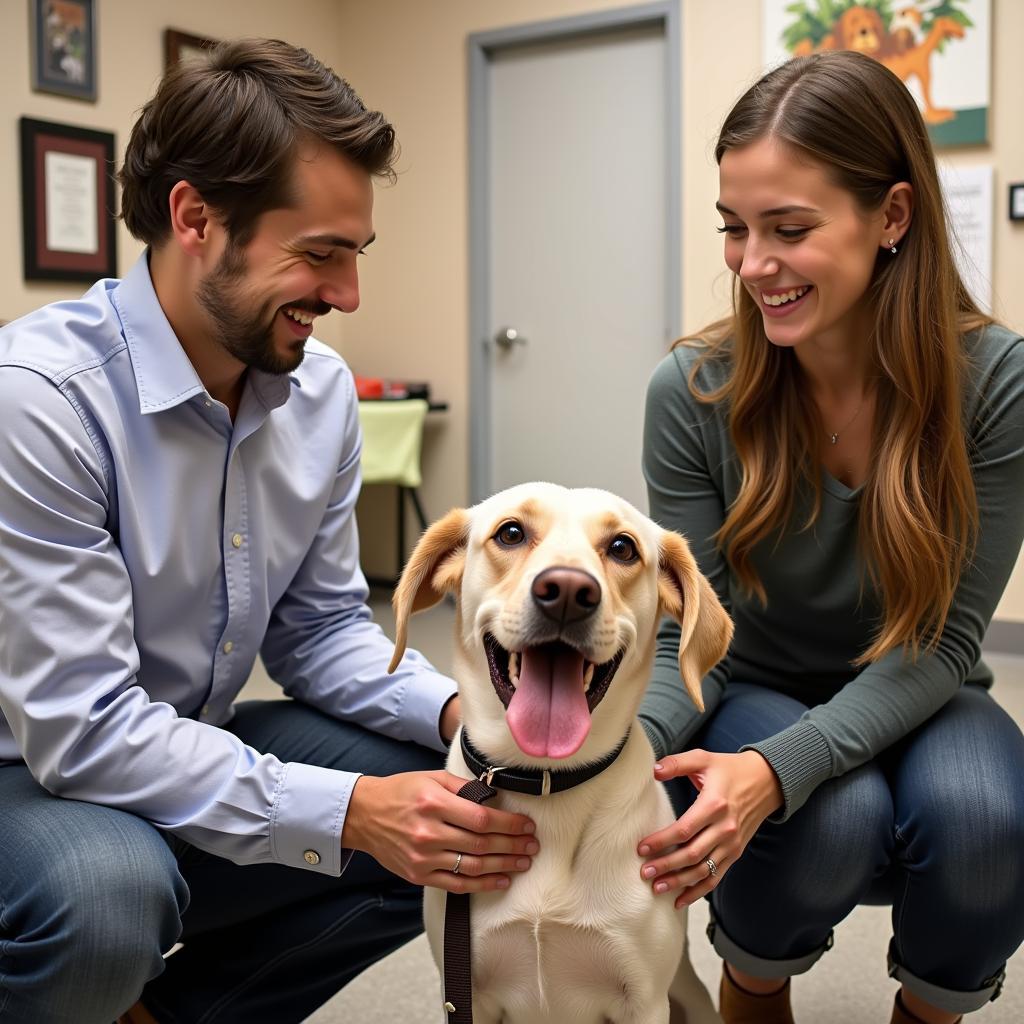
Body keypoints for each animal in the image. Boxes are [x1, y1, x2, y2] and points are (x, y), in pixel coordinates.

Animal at [387, 481, 733, 1024]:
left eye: (622, 547)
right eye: (510, 533)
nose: (568, 591)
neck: (546, 780)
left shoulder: (644, 1001)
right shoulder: (465, 988)